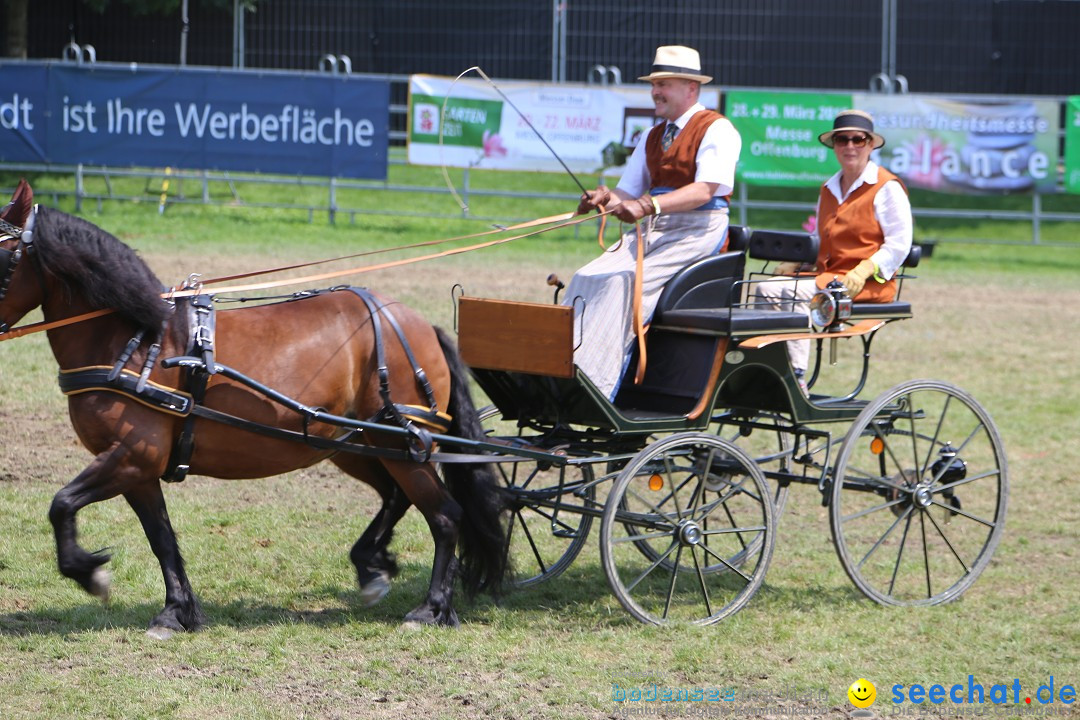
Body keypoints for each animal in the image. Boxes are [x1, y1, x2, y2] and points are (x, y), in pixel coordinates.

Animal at [0, 188, 505, 634]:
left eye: (3, 252)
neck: (135, 341)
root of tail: (417, 323)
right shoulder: (139, 469)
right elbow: (161, 538)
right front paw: (176, 613)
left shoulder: (131, 455)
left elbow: (62, 504)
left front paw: (90, 572)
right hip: (357, 444)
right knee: (397, 497)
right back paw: (372, 566)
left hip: (398, 440)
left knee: (446, 515)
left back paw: (432, 608)